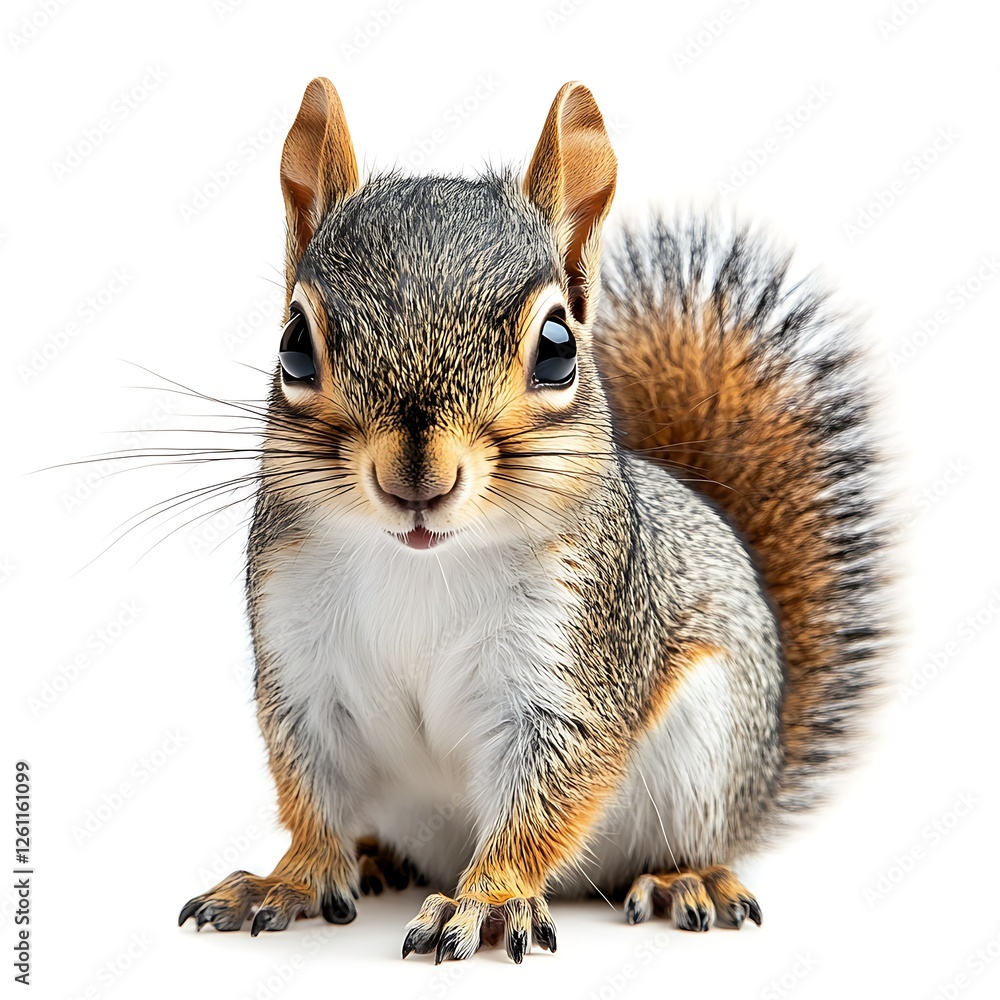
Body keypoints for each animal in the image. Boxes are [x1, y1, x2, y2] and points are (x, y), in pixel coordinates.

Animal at [178, 79, 888, 964]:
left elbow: (547, 795)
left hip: (708, 751)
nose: (417, 479)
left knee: (689, 841)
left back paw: (686, 879)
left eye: (557, 347)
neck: (422, 562)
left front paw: (488, 901)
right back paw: (375, 862)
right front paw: (292, 880)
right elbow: (311, 793)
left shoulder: (574, 658)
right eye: (293, 345)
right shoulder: (302, 663)